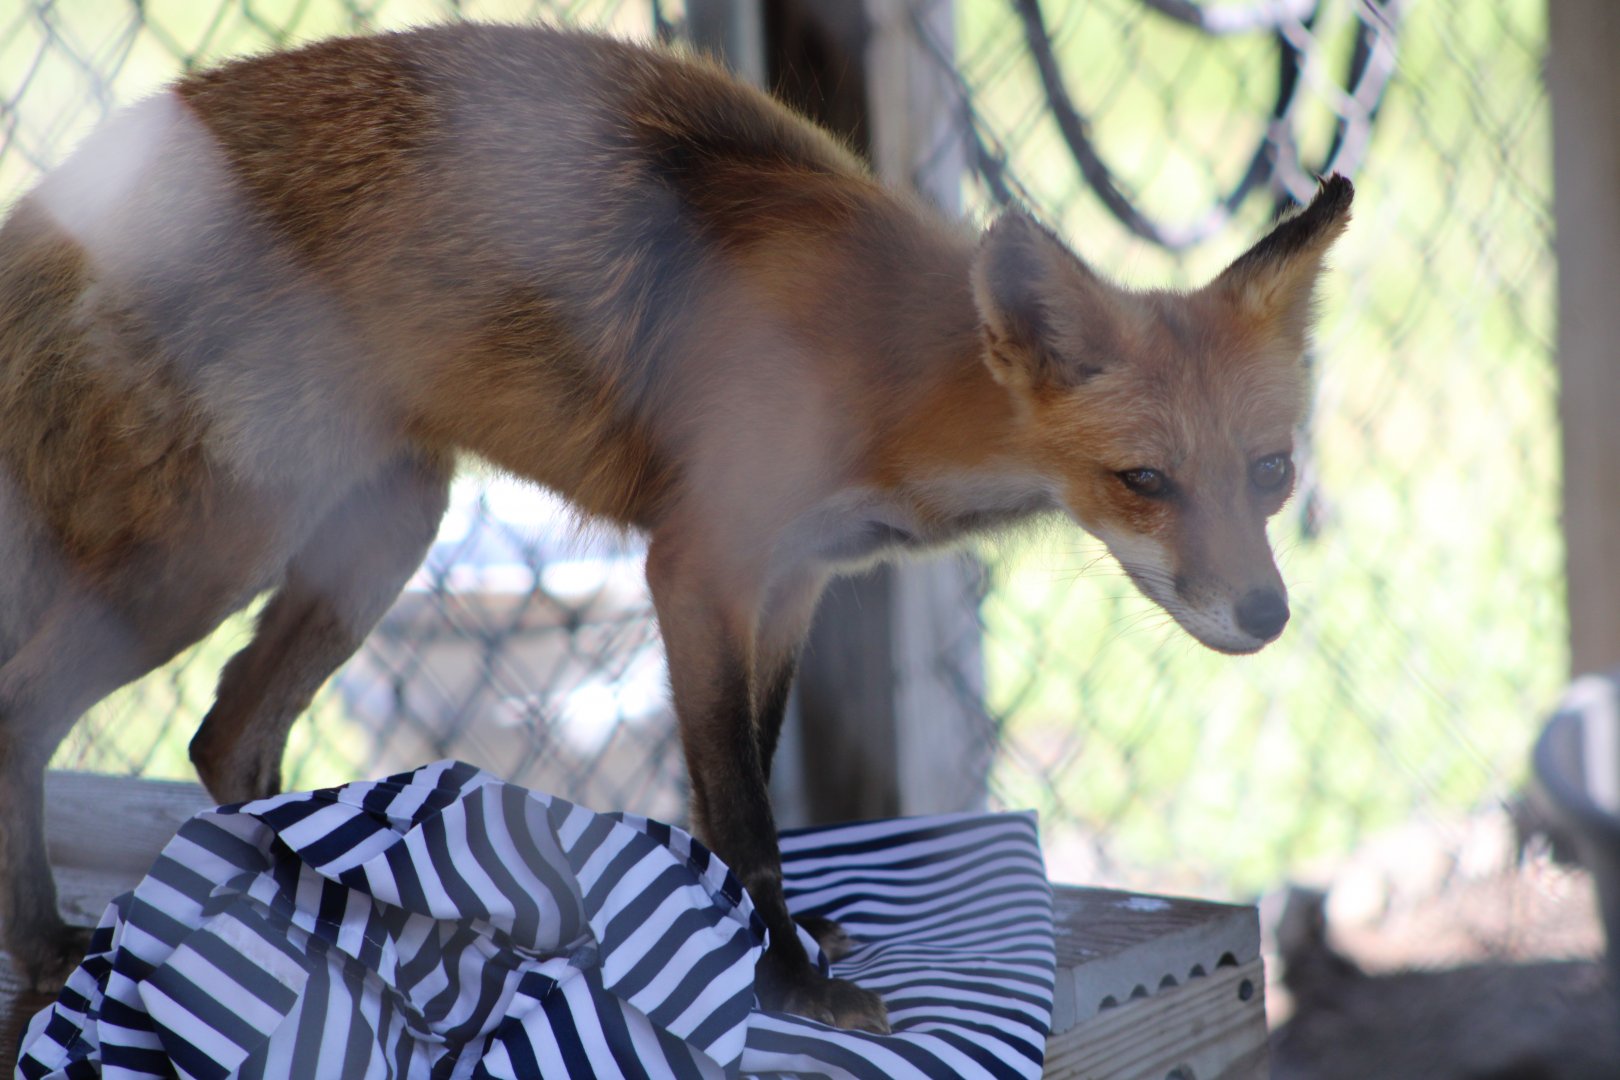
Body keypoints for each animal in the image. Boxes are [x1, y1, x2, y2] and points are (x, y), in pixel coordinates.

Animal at [0, 22, 1350, 1032]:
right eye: (1143, 480)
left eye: (1272, 471)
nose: (1267, 613)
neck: (884, 374)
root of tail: (66, 197)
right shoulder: (698, 562)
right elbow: (743, 813)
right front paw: (791, 981)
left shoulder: (799, 579)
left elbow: (740, 773)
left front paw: (759, 943)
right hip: (202, 557)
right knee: (34, 707)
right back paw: (53, 945)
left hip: (385, 530)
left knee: (229, 734)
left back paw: (287, 922)